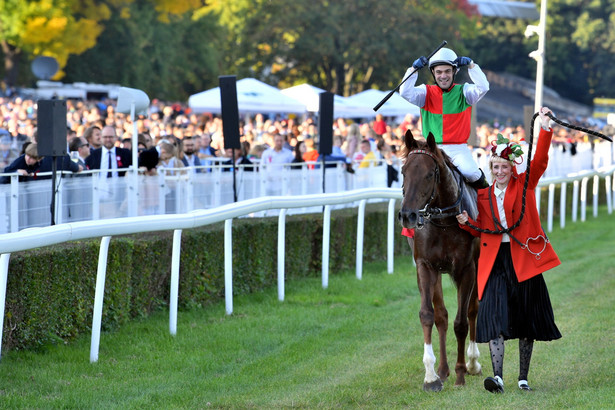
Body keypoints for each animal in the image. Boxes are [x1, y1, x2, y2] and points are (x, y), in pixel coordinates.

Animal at [402, 131, 484, 390]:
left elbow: (462, 321)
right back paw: (443, 369)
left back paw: (472, 363)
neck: (443, 220)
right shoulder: (426, 266)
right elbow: (429, 315)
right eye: (403, 171)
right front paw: (431, 376)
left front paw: (461, 373)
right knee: (442, 316)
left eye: (429, 174)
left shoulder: (467, 268)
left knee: (472, 310)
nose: (407, 215)